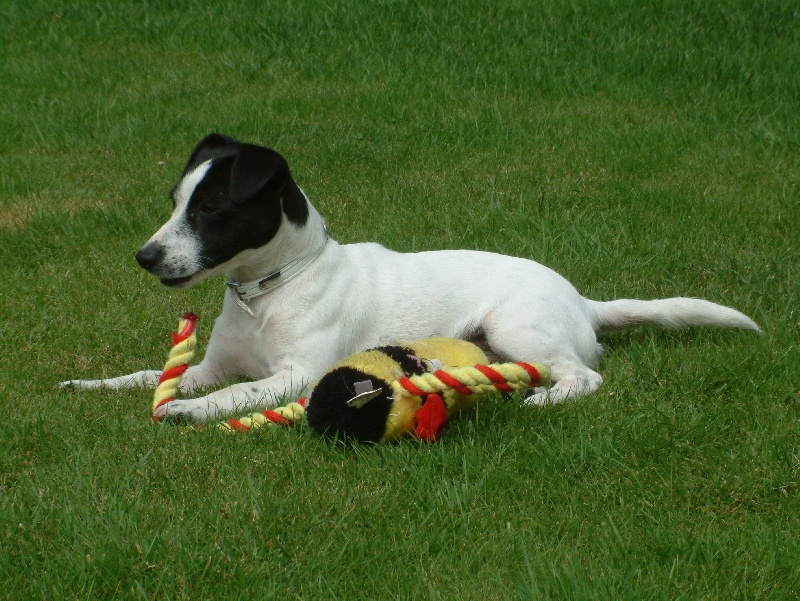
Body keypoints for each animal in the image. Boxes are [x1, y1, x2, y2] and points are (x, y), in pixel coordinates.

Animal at [63, 133, 760, 423]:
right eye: (176, 201)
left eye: (209, 209)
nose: (145, 256)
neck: (272, 289)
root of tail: (583, 302)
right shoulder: (212, 364)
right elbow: (146, 376)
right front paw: (91, 385)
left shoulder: (297, 377)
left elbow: (229, 396)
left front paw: (185, 411)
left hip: (516, 328)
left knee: (582, 376)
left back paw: (543, 400)